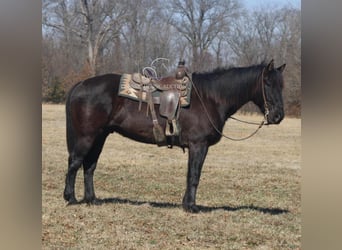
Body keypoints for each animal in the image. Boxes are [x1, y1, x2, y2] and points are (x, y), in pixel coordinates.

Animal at [63, 59, 286, 213]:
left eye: (281, 85)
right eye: (267, 83)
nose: (278, 116)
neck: (209, 98)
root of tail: (81, 84)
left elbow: (190, 175)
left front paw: (186, 204)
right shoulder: (198, 145)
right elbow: (194, 175)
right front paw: (192, 207)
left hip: (100, 136)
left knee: (89, 166)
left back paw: (91, 199)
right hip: (87, 137)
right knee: (75, 162)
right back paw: (70, 198)